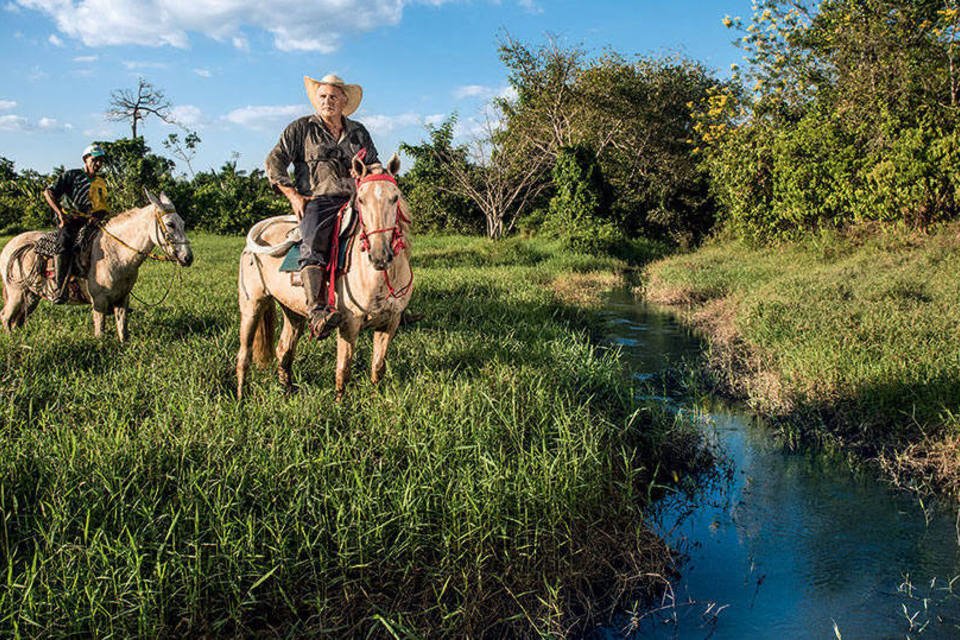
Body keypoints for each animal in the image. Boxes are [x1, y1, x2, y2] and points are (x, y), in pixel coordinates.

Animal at [0, 190, 195, 340]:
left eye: (183, 223)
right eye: (170, 224)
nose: (188, 258)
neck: (116, 253)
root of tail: (9, 247)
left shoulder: (122, 299)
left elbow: (122, 331)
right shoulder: (99, 302)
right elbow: (100, 333)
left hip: (31, 296)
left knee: (17, 320)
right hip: (16, 292)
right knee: (6, 318)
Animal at [236, 152, 412, 398]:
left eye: (394, 197)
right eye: (361, 200)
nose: (380, 256)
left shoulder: (390, 323)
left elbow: (378, 367)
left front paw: (376, 397)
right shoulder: (349, 323)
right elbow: (343, 369)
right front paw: (340, 402)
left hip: (293, 311)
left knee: (284, 349)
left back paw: (287, 389)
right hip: (252, 305)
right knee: (244, 354)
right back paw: (240, 397)